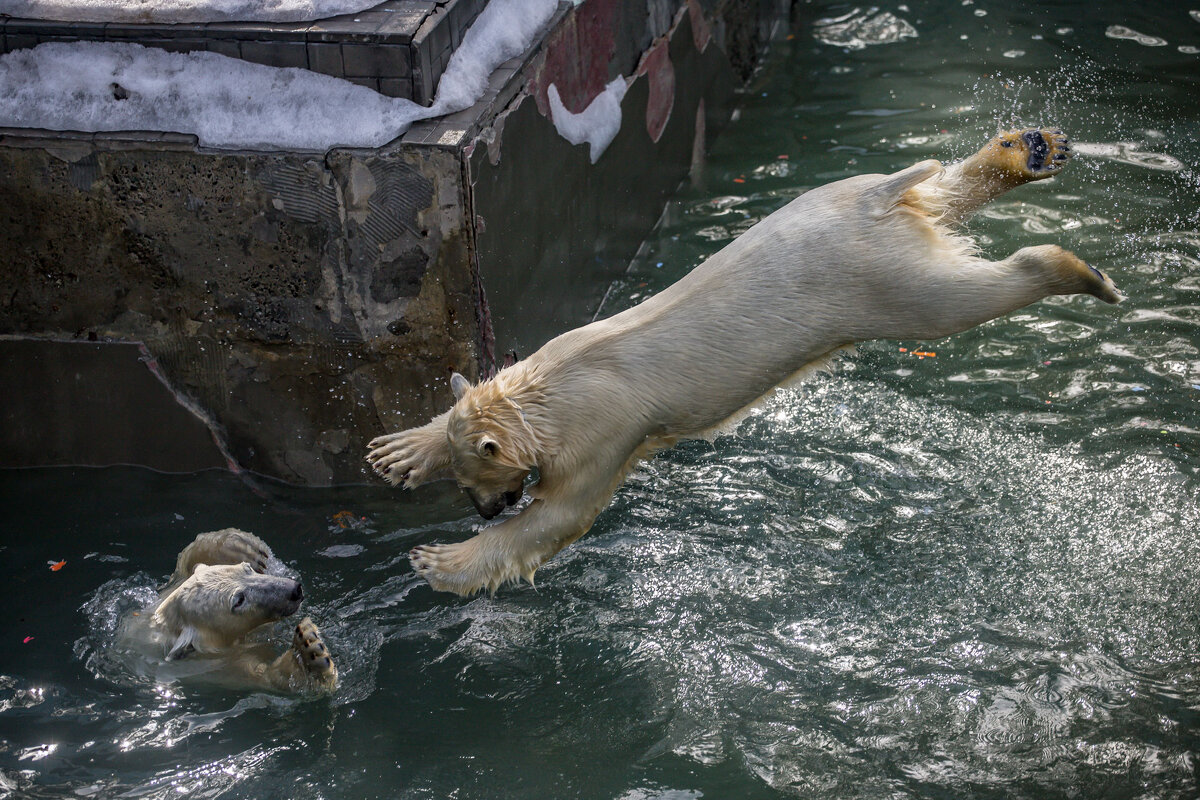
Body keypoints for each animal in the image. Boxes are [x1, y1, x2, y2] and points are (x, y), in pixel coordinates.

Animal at [124, 527, 338, 690]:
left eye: (247, 569)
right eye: (239, 600)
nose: (294, 590)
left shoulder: (163, 596)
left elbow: (181, 570)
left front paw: (238, 547)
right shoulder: (222, 667)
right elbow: (275, 679)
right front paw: (311, 649)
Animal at [367, 130, 1123, 594]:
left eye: (482, 483)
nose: (486, 511)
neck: (552, 390)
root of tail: (870, 204)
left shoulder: (603, 431)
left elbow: (562, 515)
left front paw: (440, 562)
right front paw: (397, 452)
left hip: (873, 283)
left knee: (956, 297)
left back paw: (1085, 273)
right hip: (852, 213)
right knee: (941, 198)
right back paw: (1030, 150)